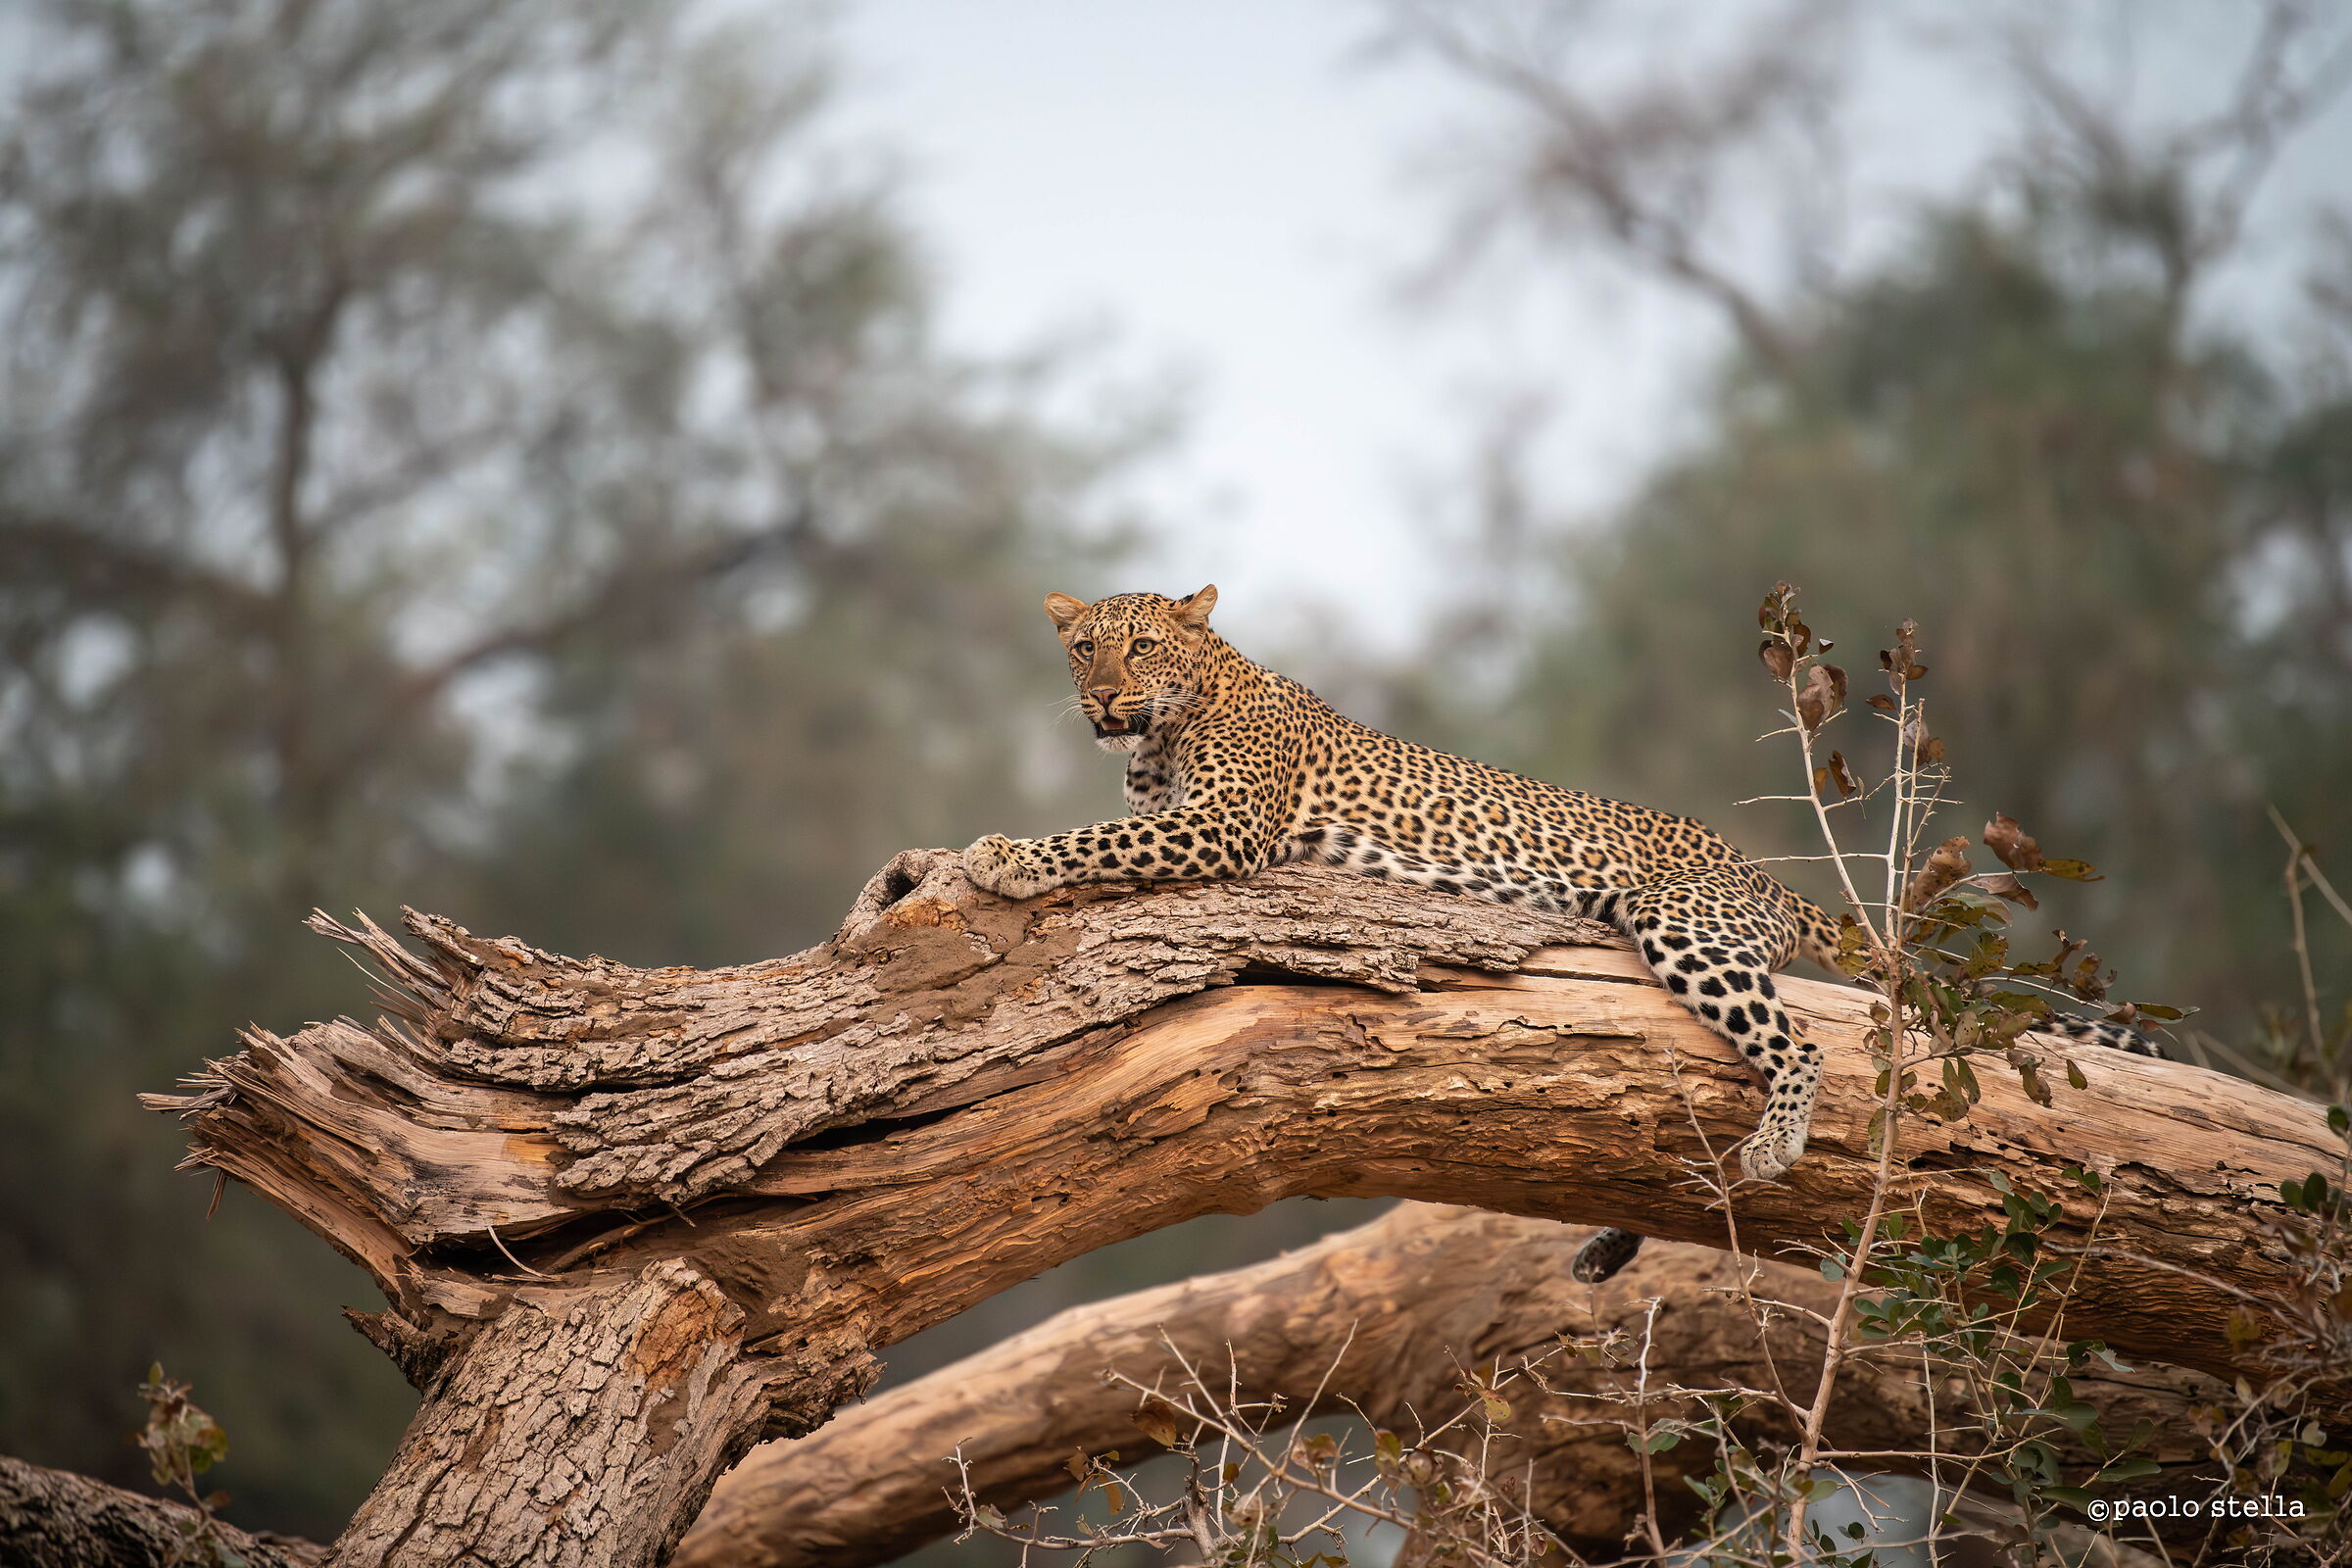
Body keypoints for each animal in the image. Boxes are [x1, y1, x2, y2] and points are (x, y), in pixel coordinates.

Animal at [961, 585, 2160, 1285]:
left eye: (1140, 646)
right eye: (1082, 649)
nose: (1103, 702)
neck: (1172, 721)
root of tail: (1759, 872)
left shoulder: (1215, 828)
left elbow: (1092, 841)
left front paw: (997, 854)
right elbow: (1103, 830)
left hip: (1683, 922)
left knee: (1798, 1041)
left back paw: (1772, 1144)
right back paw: (1611, 1240)